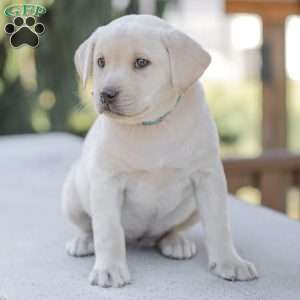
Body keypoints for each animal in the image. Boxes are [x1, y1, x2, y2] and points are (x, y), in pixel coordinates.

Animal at [61, 15, 258, 288]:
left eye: (141, 63)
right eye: (100, 62)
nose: (106, 94)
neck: (151, 125)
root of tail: (141, 238)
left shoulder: (209, 177)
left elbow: (219, 224)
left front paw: (230, 261)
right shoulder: (106, 182)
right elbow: (108, 230)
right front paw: (109, 269)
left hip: (192, 209)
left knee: (170, 230)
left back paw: (175, 242)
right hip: (72, 195)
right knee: (88, 225)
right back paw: (83, 241)